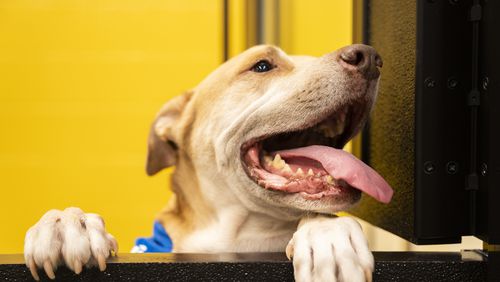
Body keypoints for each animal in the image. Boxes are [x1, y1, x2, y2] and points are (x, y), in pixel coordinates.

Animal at [23, 45, 392, 282]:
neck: (237, 236)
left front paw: (328, 236)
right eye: (262, 65)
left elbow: (322, 218)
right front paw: (68, 225)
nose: (369, 57)